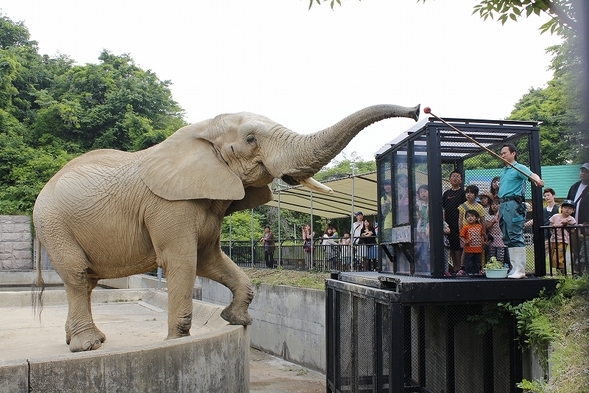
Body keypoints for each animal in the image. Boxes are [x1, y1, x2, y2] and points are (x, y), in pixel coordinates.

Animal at [33, 102, 418, 350]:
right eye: (250, 140)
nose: (417, 109)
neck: (201, 132)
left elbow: (211, 261)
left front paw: (236, 320)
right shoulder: (168, 206)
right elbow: (182, 263)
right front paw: (176, 344)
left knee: (85, 281)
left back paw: (78, 340)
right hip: (53, 223)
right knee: (78, 275)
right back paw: (87, 346)